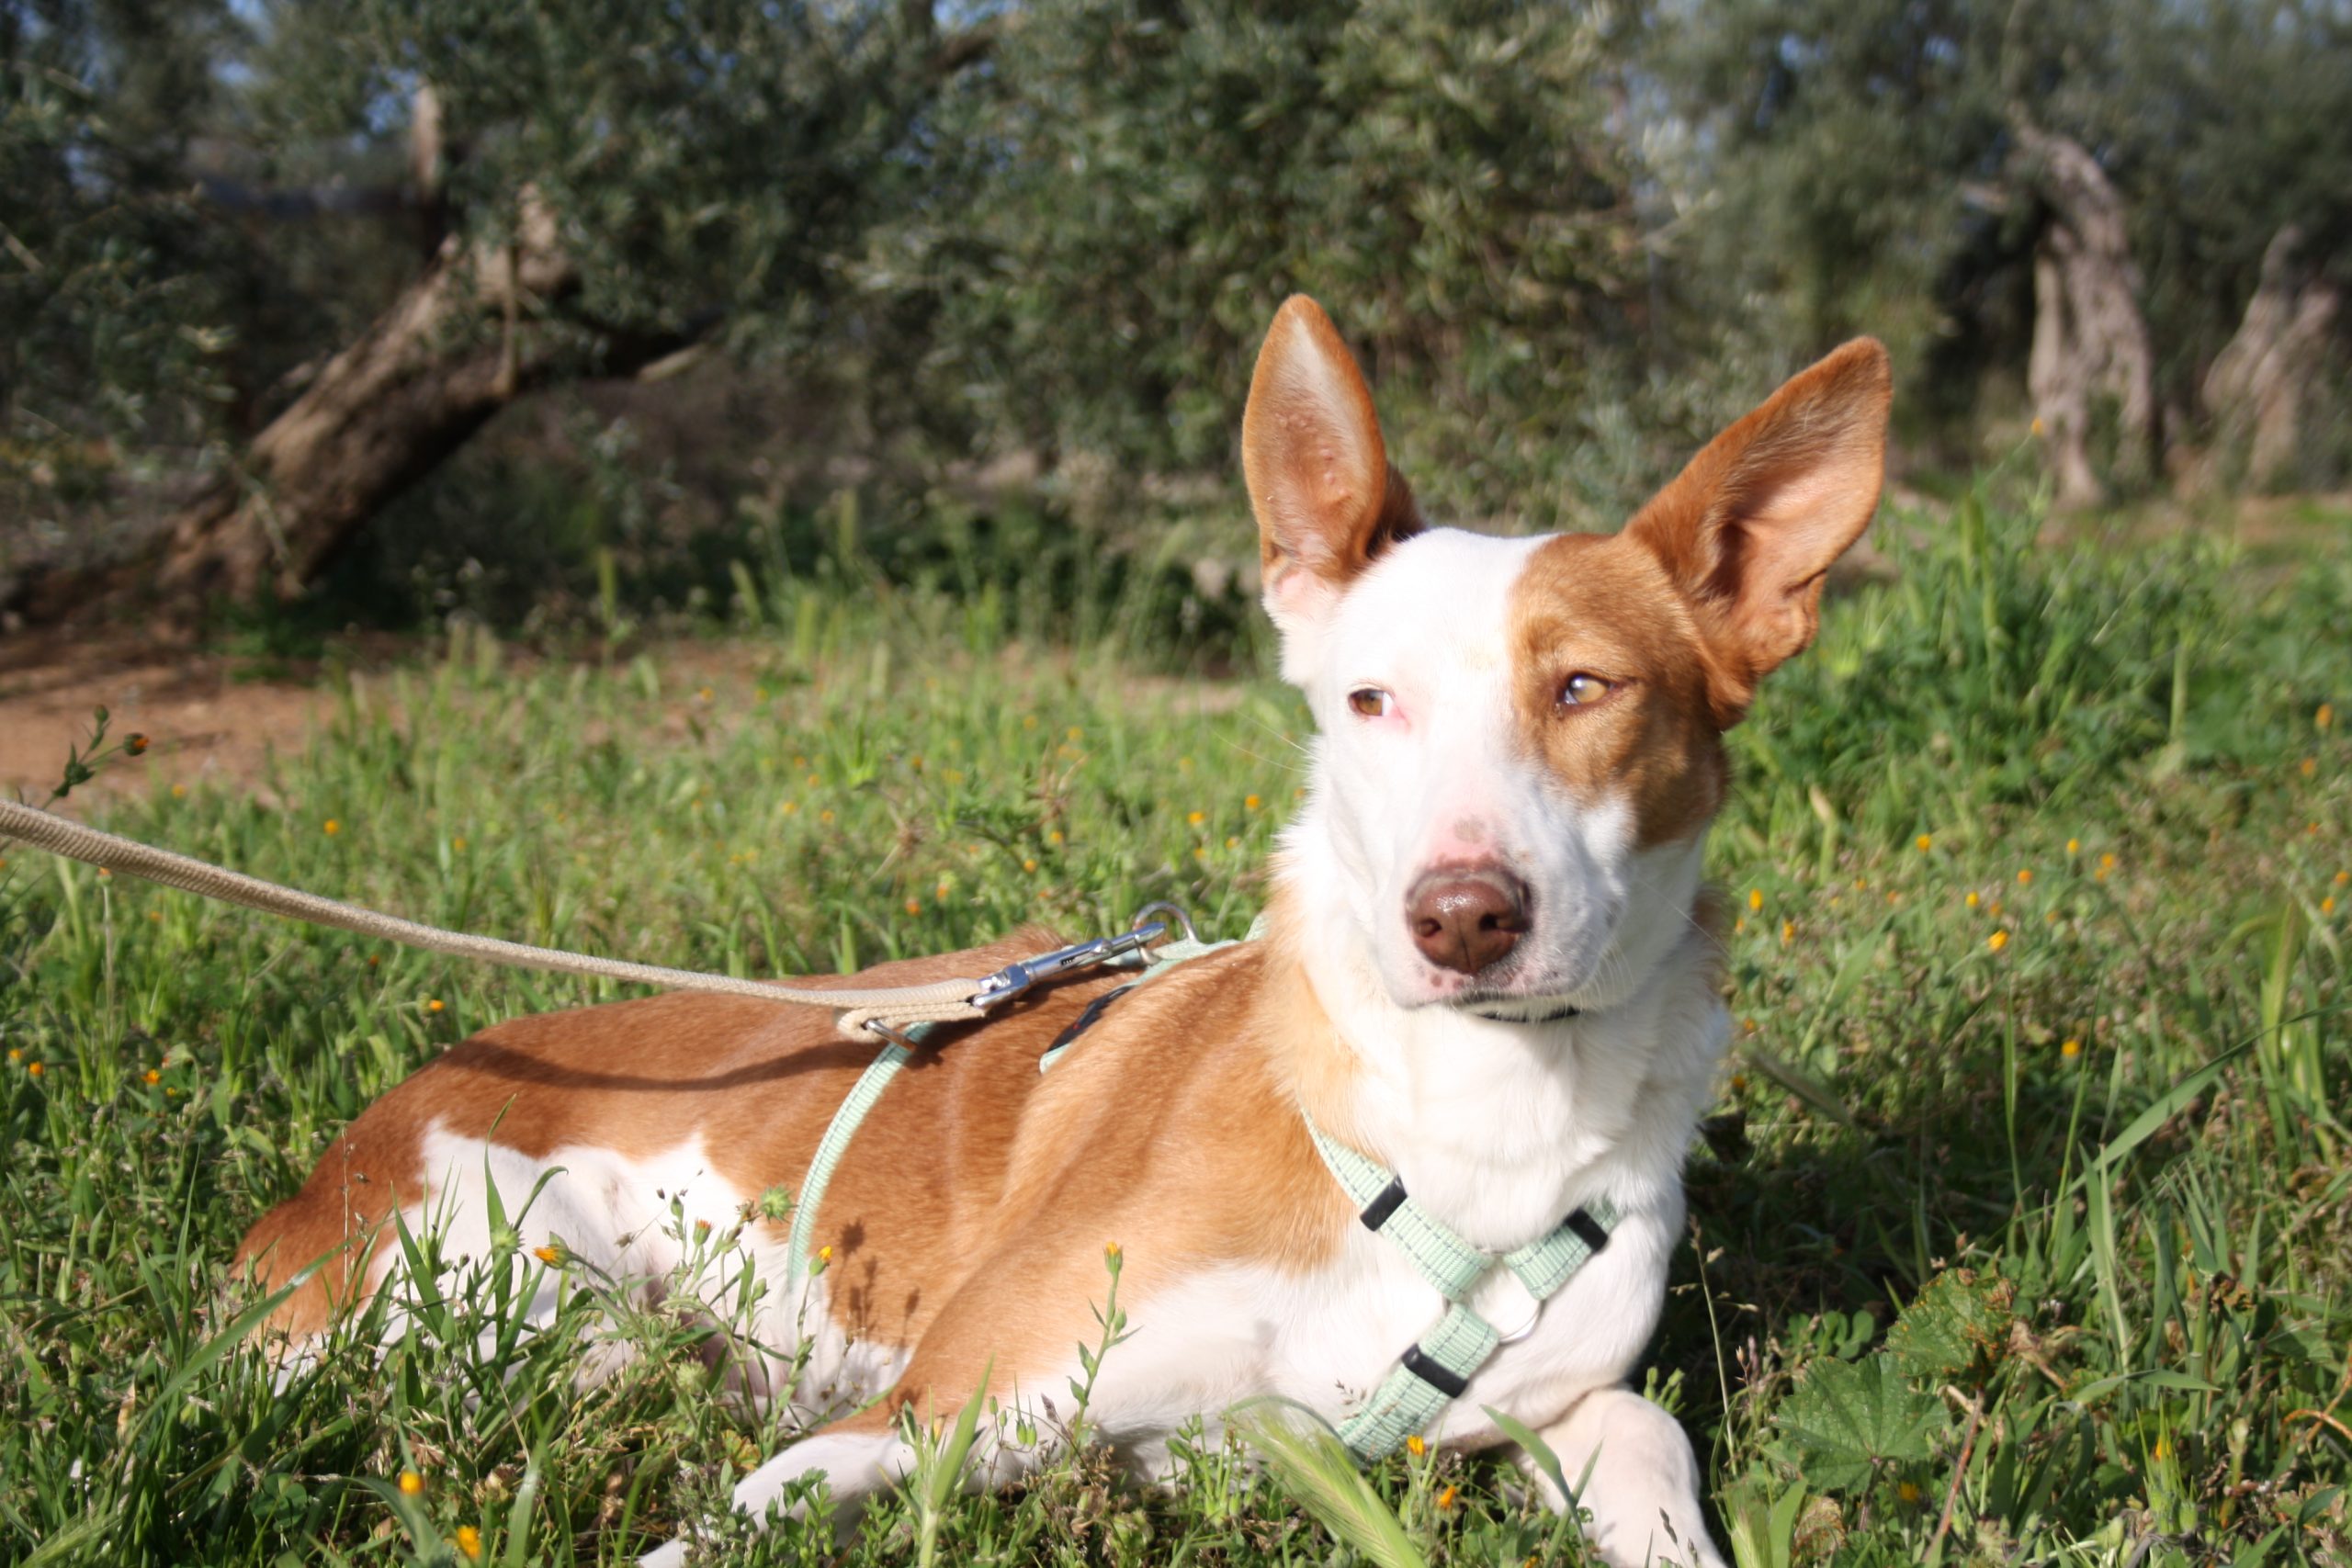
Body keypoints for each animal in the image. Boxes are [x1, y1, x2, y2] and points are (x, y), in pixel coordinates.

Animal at [235, 296, 1889, 1567]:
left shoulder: (1514, 1411)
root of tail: (343, 1151)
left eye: (1586, 687)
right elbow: (726, 1527)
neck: (1471, 1123)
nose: (1464, 917)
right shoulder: (927, 1406)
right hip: (524, 1289)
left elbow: (1647, 1427)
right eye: (1371, 700)